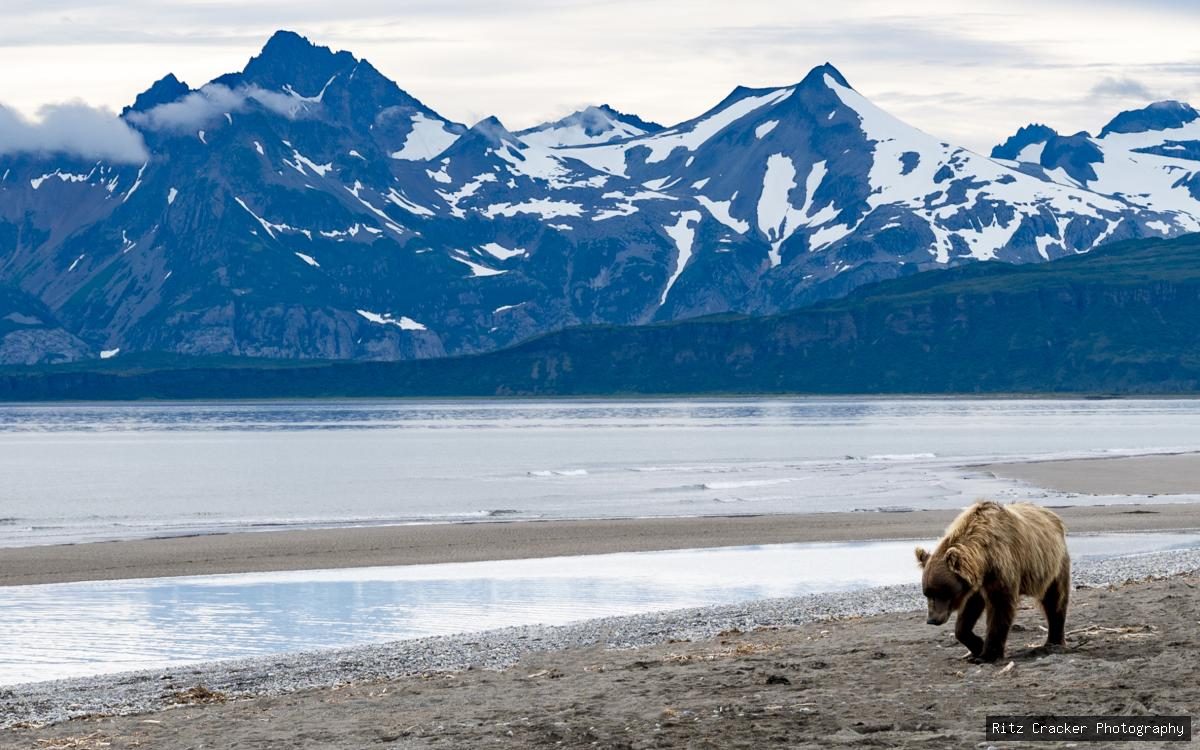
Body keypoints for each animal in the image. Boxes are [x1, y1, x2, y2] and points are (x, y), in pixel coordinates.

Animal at [915, 501, 1070, 663]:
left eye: (942, 592)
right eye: (927, 593)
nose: (931, 619)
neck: (985, 559)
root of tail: (1051, 514)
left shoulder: (1002, 568)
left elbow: (1000, 608)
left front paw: (987, 655)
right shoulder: (975, 584)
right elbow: (968, 613)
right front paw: (977, 645)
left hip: (1054, 564)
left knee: (1055, 599)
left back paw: (1054, 641)